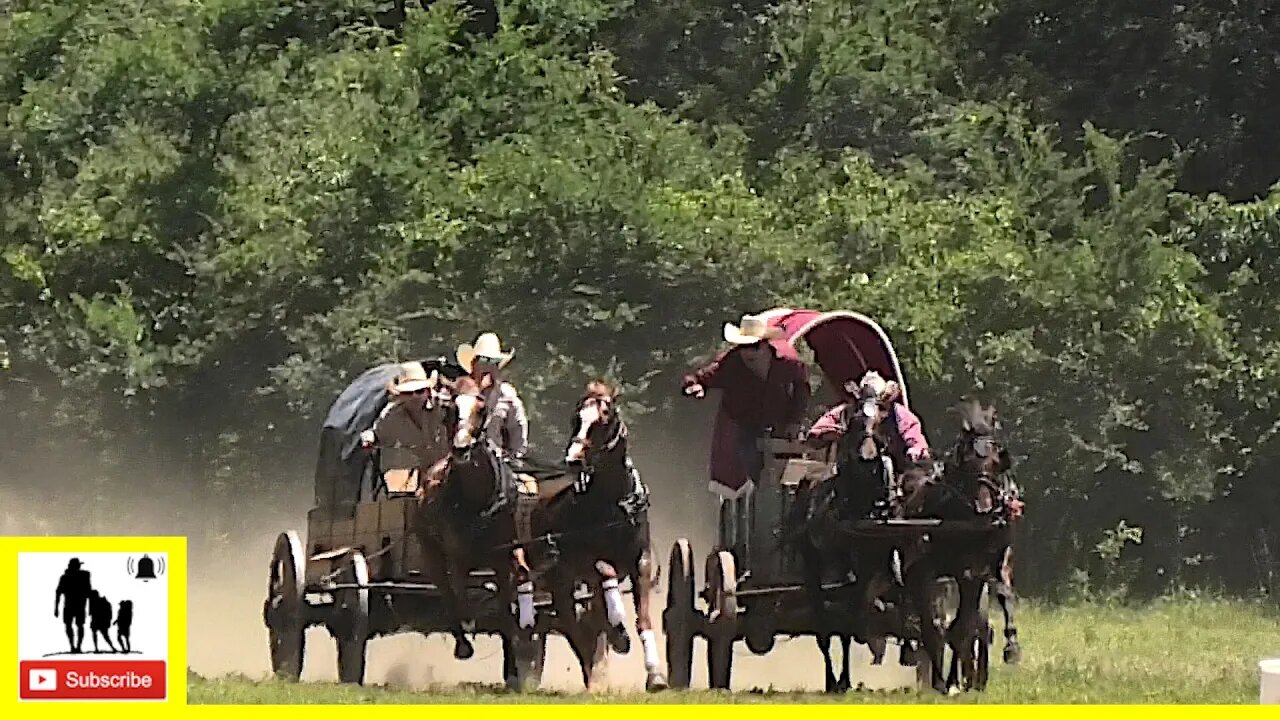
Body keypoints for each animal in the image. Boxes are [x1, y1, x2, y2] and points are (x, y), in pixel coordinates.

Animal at [524, 381, 670, 691]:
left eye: (604, 418)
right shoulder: (591, 563)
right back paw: (594, 673)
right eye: (576, 418)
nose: (573, 459)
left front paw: (655, 675)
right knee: (572, 625)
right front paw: (619, 632)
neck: (617, 504)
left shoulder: (641, 562)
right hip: (559, 580)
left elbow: (643, 619)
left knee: (585, 622)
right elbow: (606, 573)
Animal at [901, 394, 1018, 691]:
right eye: (967, 464)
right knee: (932, 628)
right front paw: (948, 680)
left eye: (996, 462)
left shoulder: (988, 565)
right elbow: (950, 629)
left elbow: (980, 616)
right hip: (924, 573)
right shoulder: (960, 571)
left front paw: (1011, 647)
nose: (983, 509)